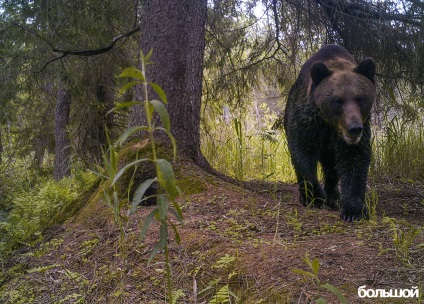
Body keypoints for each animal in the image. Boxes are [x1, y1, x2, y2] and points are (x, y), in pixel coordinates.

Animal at [284, 44, 376, 222]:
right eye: (338, 100)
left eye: (360, 98)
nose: (354, 128)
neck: (330, 123)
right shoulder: (307, 121)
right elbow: (302, 152)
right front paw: (313, 197)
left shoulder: (354, 134)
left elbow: (354, 159)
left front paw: (353, 210)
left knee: (332, 168)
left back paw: (334, 196)